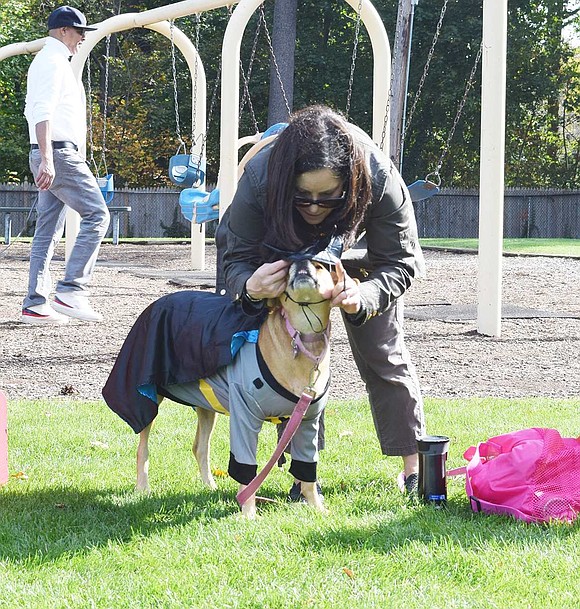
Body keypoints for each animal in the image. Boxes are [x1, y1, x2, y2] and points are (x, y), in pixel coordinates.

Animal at [102, 258, 334, 516]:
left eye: (320, 266)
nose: (300, 261)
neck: (303, 341)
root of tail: (159, 301)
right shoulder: (244, 416)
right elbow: (247, 473)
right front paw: (248, 513)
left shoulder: (307, 421)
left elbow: (307, 472)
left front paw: (317, 508)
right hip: (148, 398)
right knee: (143, 447)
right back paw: (143, 487)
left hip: (205, 406)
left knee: (199, 448)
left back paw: (209, 485)